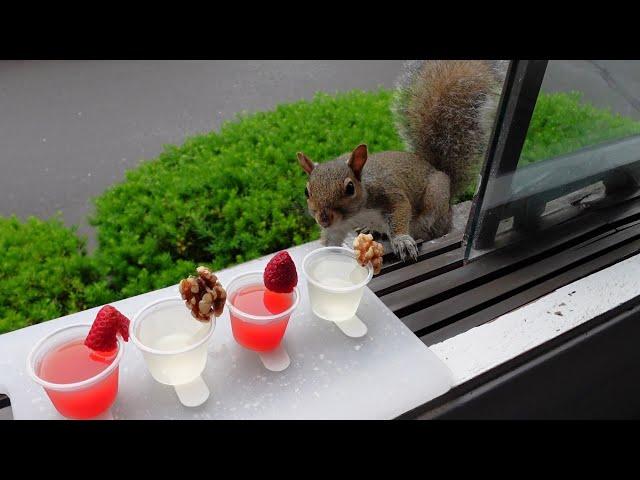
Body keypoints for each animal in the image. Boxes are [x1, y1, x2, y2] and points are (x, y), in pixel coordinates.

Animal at [298, 62, 508, 262]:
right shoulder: (339, 225)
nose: (324, 219)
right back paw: (370, 229)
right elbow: (331, 239)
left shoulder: (388, 193)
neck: (356, 213)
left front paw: (402, 241)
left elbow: (400, 211)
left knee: (433, 229)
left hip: (435, 199)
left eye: (350, 188)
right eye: (307, 191)